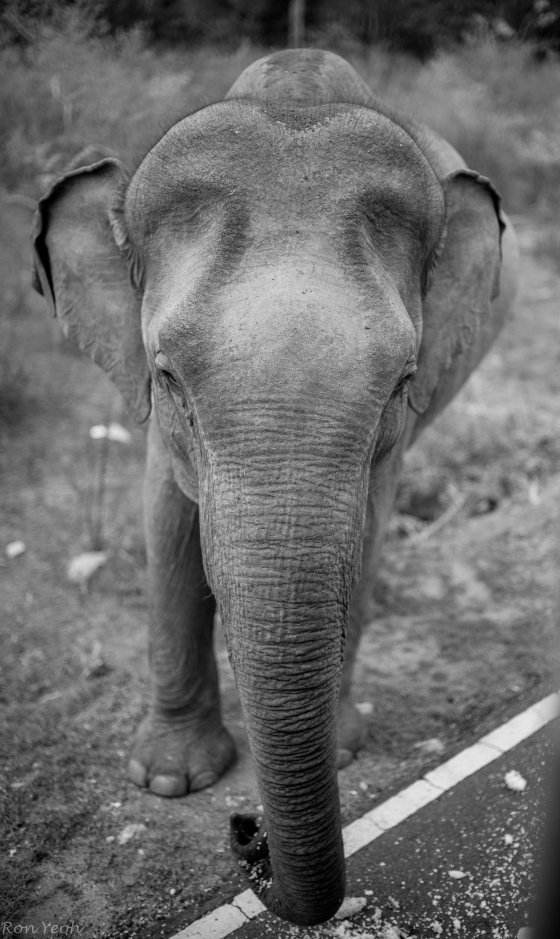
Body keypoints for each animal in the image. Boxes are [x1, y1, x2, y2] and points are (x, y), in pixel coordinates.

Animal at [32, 49, 518, 927]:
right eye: (167, 375)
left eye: (399, 382)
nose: (245, 830)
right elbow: (168, 523)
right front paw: (167, 780)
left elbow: (365, 530)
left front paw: (344, 746)